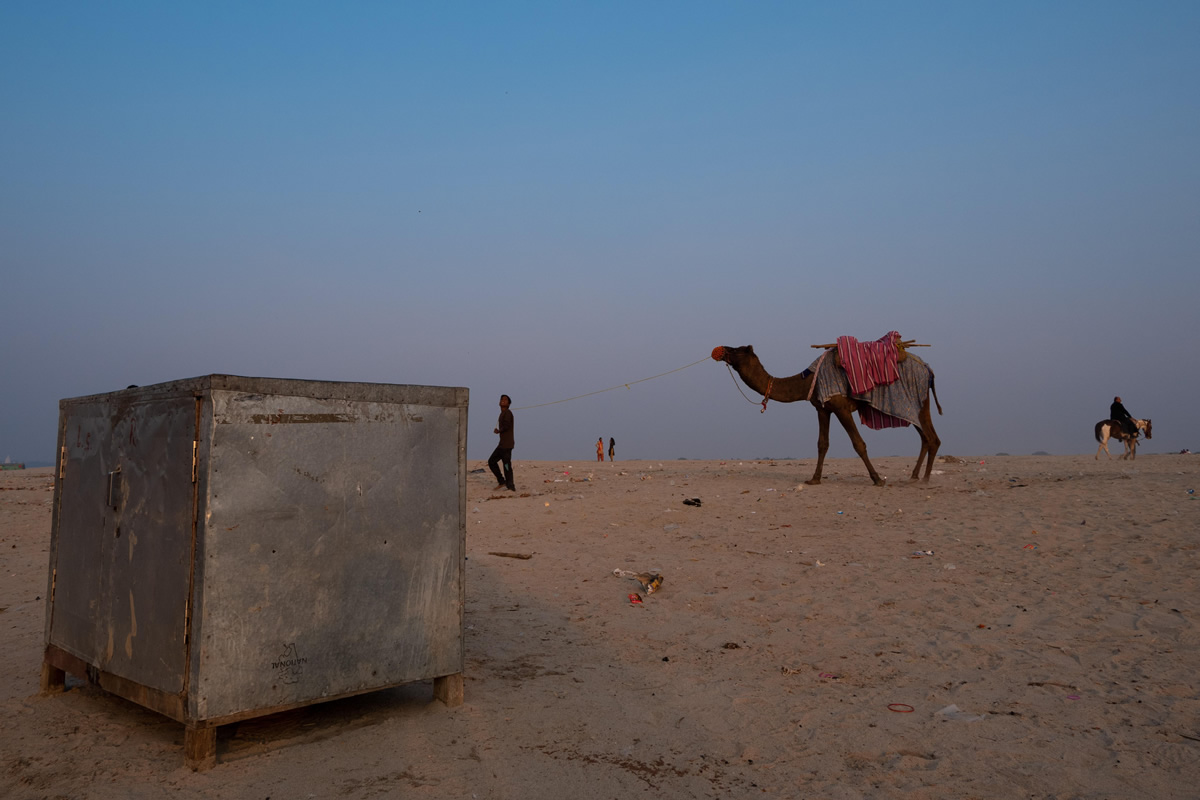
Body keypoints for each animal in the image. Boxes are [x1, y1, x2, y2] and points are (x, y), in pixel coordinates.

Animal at [705, 343, 940, 484]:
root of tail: (928, 369)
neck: (808, 380)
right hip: (912, 405)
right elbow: (822, 444)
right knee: (928, 437)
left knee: (930, 437)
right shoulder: (822, 408)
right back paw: (916, 476)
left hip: (917, 400)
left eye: (737, 350)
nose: (720, 349)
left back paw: (925, 478)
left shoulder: (840, 407)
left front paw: (877, 479)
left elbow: (858, 443)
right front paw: (814, 479)